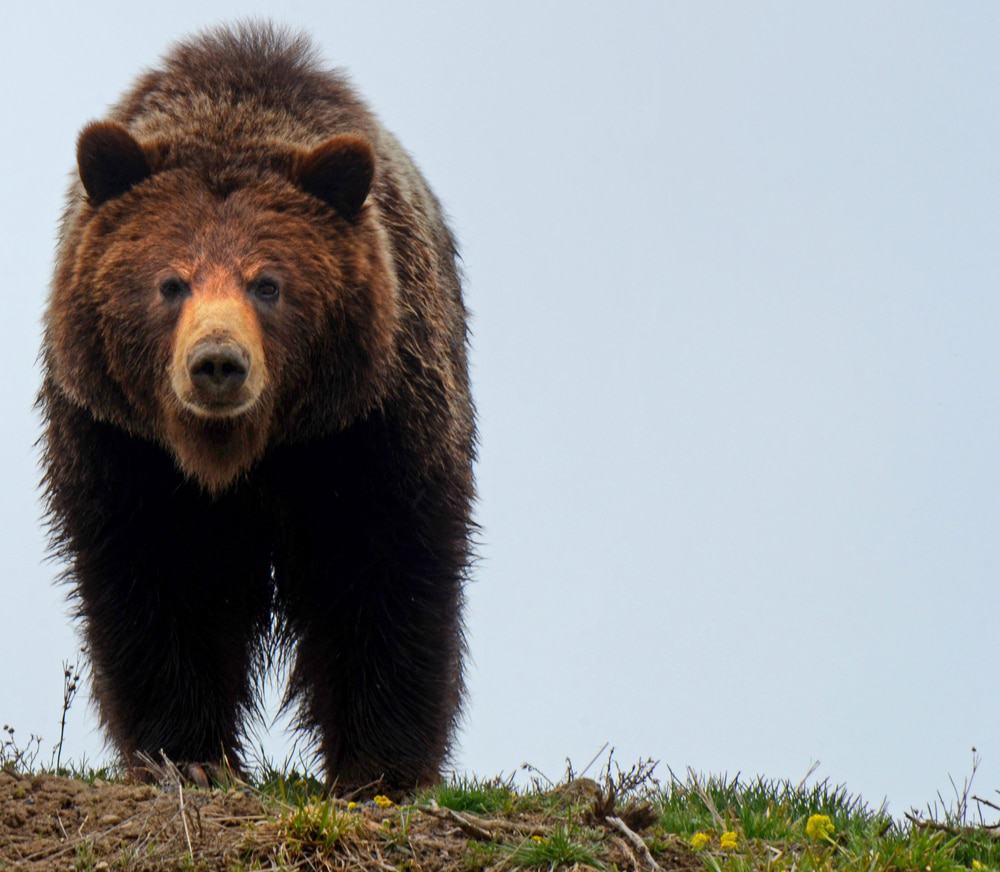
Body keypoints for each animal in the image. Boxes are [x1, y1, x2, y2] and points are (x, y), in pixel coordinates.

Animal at [40, 22, 476, 792]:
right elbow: (156, 585)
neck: (242, 452)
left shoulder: (367, 429)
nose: (218, 363)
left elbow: (383, 577)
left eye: (267, 283)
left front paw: (380, 767)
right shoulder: (125, 448)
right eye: (171, 282)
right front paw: (186, 754)